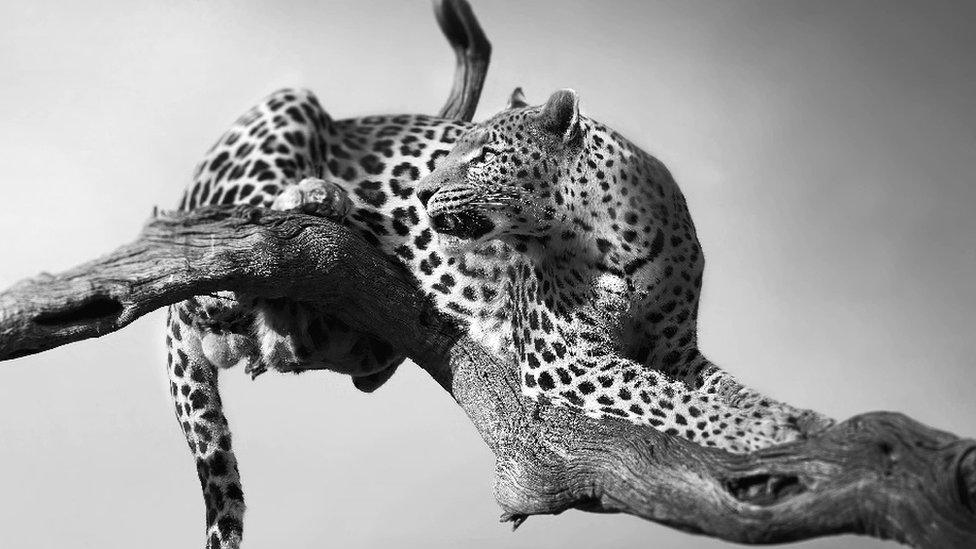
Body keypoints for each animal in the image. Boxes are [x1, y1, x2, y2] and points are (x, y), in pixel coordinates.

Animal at [168, 88, 824, 544]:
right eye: (447, 152)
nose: (422, 190)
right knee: (223, 245)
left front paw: (794, 418)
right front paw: (762, 432)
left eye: (481, 155)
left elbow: (715, 388)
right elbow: (662, 397)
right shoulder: (562, 356)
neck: (613, 235)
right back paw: (316, 197)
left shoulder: (678, 350)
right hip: (280, 115)